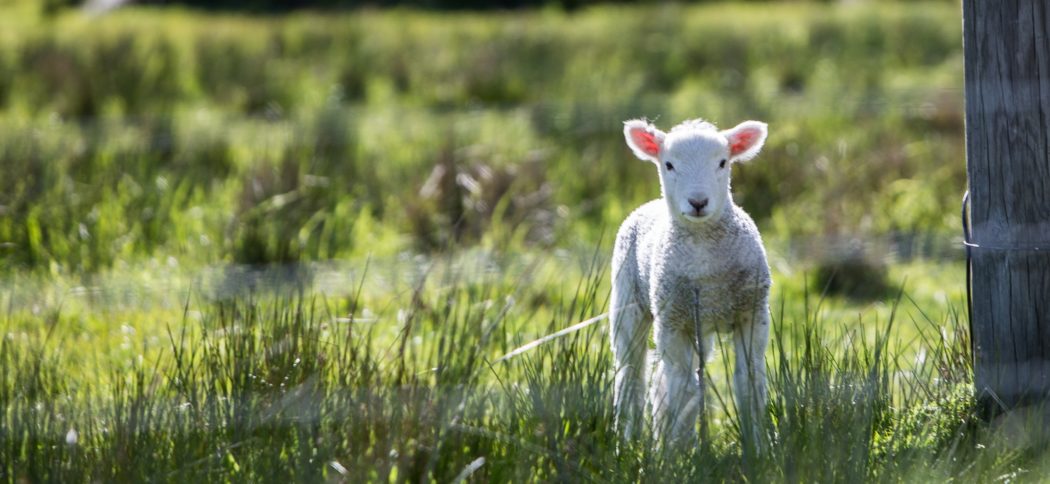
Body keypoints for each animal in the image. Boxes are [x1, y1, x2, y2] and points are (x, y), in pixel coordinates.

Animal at [610, 117, 771, 447]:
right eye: (669, 164)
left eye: (723, 162)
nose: (698, 202)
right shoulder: (672, 322)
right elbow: (682, 389)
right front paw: (679, 450)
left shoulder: (752, 313)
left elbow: (749, 382)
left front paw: (757, 446)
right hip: (628, 302)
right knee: (631, 374)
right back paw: (628, 440)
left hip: (700, 325)